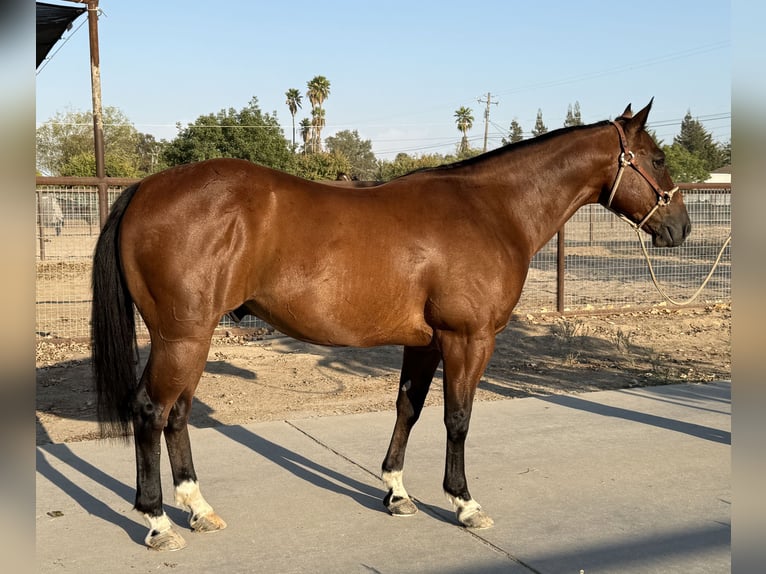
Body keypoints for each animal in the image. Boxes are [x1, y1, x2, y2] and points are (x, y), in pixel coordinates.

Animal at [91, 100, 690, 550]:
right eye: (657, 158)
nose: (681, 227)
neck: (491, 208)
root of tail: (145, 188)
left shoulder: (424, 343)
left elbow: (409, 409)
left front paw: (396, 493)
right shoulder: (468, 339)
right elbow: (457, 419)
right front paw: (464, 503)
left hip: (192, 339)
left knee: (177, 415)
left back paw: (198, 508)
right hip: (182, 338)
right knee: (151, 410)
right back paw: (158, 522)